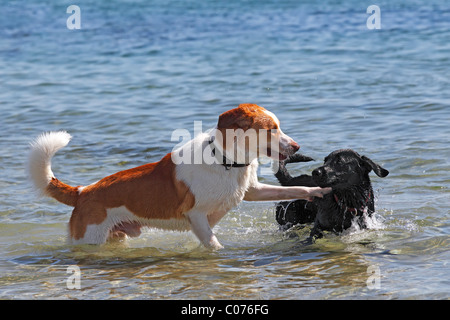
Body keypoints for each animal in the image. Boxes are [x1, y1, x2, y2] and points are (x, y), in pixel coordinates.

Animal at [28, 104, 330, 249]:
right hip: (90, 238)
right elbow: (213, 244)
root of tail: (83, 191)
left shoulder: (253, 191)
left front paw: (319, 192)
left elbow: (296, 190)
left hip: (117, 236)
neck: (225, 161)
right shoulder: (196, 215)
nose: (296, 147)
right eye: (271, 129)